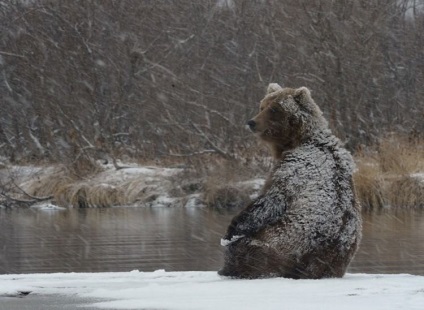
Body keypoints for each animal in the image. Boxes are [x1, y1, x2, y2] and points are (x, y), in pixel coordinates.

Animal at [219, 83, 362, 280]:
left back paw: (232, 266)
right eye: (262, 106)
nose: (252, 122)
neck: (299, 139)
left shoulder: (295, 167)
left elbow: (270, 201)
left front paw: (231, 232)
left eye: (274, 109)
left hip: (283, 244)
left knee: (248, 250)